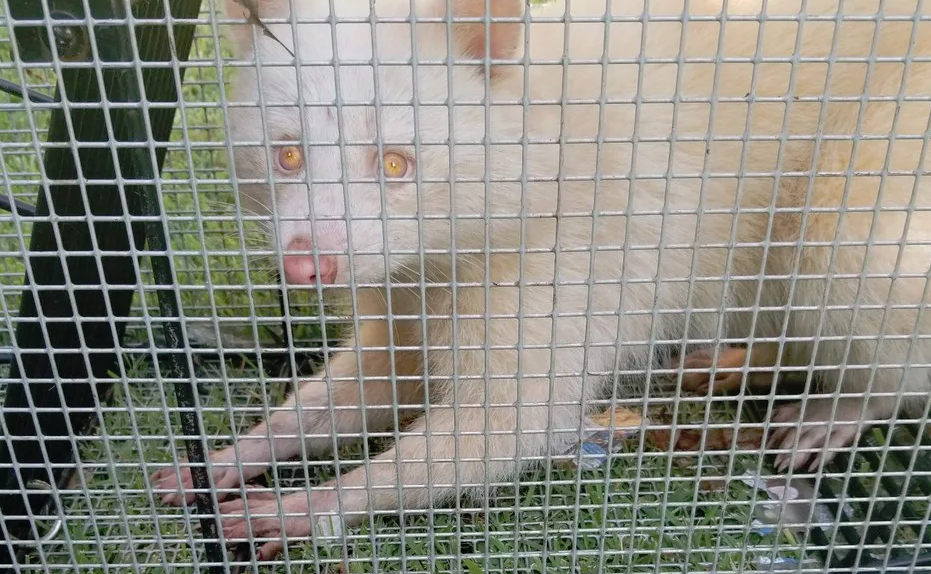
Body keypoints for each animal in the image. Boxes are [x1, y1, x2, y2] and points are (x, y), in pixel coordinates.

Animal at [149, 0, 931, 560]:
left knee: (852, 272)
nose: (306, 265)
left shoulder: (562, 260)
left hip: (877, 166)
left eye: (396, 161)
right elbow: (376, 380)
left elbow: (504, 424)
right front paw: (238, 452)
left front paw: (319, 502)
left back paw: (853, 396)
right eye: (286, 153)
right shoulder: (406, 279)